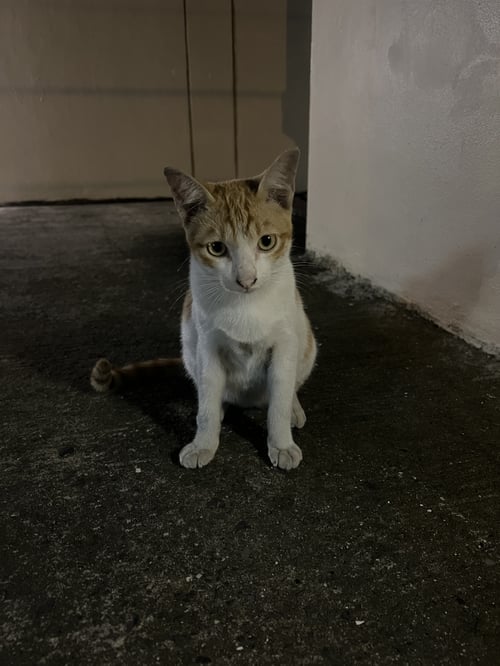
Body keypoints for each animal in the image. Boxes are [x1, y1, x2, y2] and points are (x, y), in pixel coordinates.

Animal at [91, 148, 317, 470]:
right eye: (217, 248)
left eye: (267, 242)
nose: (246, 280)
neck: (245, 306)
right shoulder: (207, 347)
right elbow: (207, 403)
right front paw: (204, 442)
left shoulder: (285, 344)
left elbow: (280, 402)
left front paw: (281, 443)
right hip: (190, 349)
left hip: (307, 344)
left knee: (289, 388)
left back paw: (294, 408)